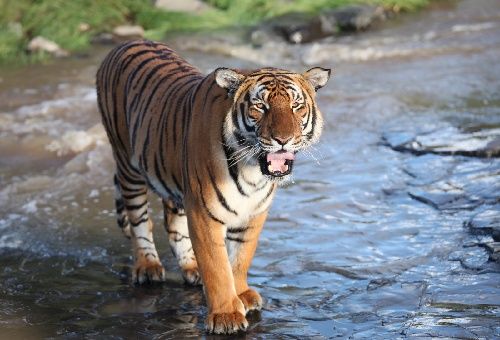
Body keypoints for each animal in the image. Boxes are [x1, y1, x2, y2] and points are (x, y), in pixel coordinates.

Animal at [95, 38, 330, 334]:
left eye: (296, 106)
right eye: (260, 107)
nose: (283, 140)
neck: (252, 172)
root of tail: (126, 43)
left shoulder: (253, 213)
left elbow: (240, 258)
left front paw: (242, 294)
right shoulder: (204, 213)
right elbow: (218, 267)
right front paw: (226, 315)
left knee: (172, 224)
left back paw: (191, 268)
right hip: (128, 164)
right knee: (139, 221)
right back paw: (148, 266)